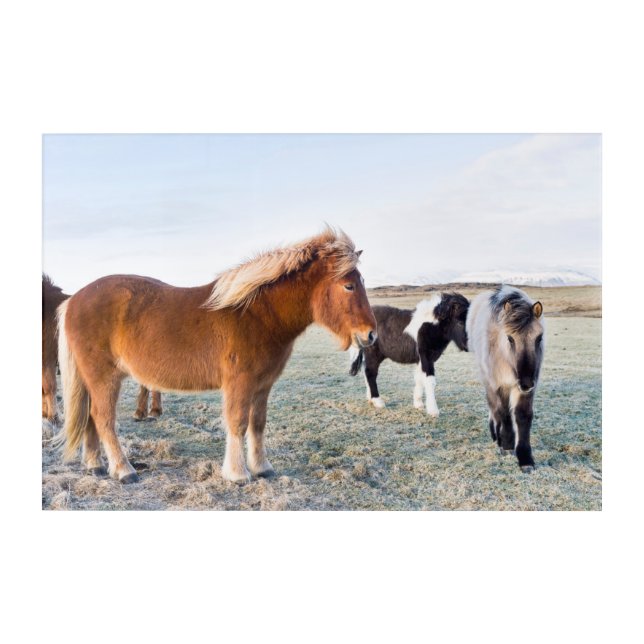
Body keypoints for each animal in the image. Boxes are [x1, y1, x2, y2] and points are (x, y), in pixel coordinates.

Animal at [42, 274, 162, 426]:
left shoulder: (48, 358)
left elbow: (49, 387)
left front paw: (53, 417)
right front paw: (45, 414)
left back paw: (149, 412)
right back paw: (148, 412)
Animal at [55, 227, 377, 484]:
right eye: (349, 285)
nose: (371, 335)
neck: (257, 315)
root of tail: (73, 300)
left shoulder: (263, 385)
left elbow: (257, 424)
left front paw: (262, 468)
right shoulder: (239, 383)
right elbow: (237, 422)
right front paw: (237, 474)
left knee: (91, 418)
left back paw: (95, 465)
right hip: (104, 377)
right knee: (103, 418)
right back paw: (124, 470)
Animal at [466, 285, 544, 472]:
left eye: (539, 338)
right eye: (510, 338)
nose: (526, 382)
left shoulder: (526, 389)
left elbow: (523, 416)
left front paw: (525, 458)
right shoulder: (500, 385)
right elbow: (504, 414)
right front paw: (507, 445)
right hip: (487, 378)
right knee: (493, 407)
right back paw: (496, 435)